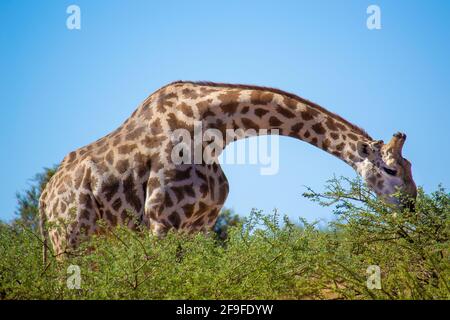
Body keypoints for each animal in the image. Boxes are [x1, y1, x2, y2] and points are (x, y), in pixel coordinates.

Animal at [40, 80, 416, 260]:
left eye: (409, 165)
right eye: (392, 170)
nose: (412, 205)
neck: (214, 129)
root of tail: (45, 199)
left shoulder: (200, 225)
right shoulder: (161, 220)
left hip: (89, 240)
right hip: (69, 238)